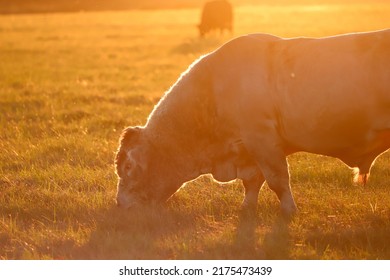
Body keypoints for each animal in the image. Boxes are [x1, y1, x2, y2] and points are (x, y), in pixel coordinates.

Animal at [115, 30, 390, 219]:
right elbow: (252, 182)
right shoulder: (249, 150)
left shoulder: (263, 140)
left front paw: (289, 211)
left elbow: (278, 179)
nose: (120, 204)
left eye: (128, 167)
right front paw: (247, 208)